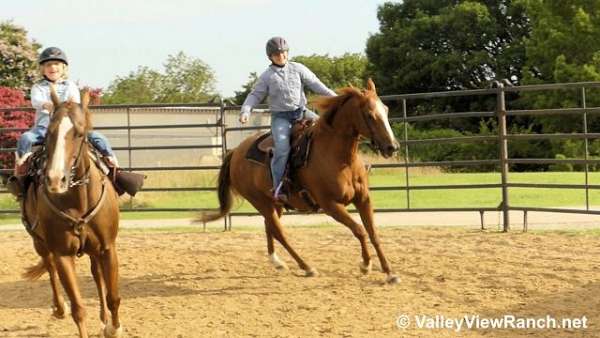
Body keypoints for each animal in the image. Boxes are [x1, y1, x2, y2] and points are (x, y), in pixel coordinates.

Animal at [21, 88, 122, 338]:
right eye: (49, 133)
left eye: (79, 133)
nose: (55, 179)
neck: (79, 200)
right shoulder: (63, 255)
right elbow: (78, 309)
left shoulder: (108, 248)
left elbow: (113, 296)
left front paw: (113, 327)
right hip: (39, 241)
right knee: (48, 265)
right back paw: (59, 308)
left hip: (94, 250)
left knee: (96, 274)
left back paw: (104, 319)